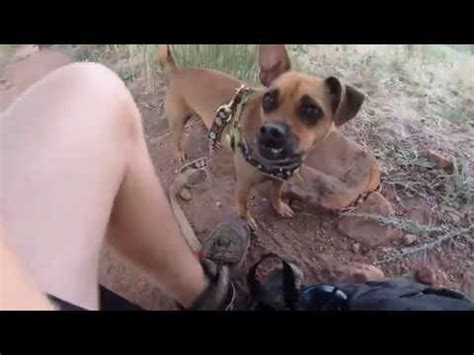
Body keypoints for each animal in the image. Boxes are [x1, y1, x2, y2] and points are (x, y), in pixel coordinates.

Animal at [157, 44, 380, 229]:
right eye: (268, 99)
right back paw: (179, 153)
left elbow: (275, 193)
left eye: (311, 111)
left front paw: (279, 206)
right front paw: (246, 219)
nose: (271, 130)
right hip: (177, 121)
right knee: (176, 139)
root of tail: (179, 71)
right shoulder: (243, 185)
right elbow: (243, 205)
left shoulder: (279, 180)